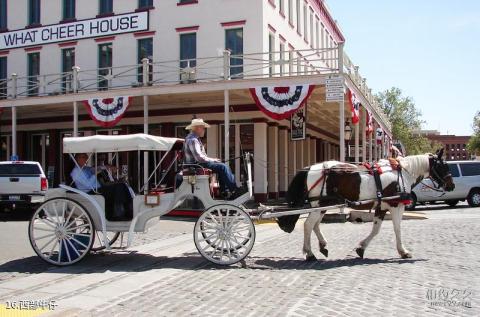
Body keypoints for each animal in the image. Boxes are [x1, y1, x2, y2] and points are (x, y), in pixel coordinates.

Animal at [278, 149, 454, 260]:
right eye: (443, 165)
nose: (451, 185)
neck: (402, 172)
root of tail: (310, 168)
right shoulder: (396, 205)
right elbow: (397, 229)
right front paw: (403, 252)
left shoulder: (381, 207)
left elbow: (375, 230)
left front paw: (361, 248)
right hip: (318, 205)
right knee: (308, 225)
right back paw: (309, 254)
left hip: (323, 205)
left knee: (315, 225)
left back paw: (322, 246)